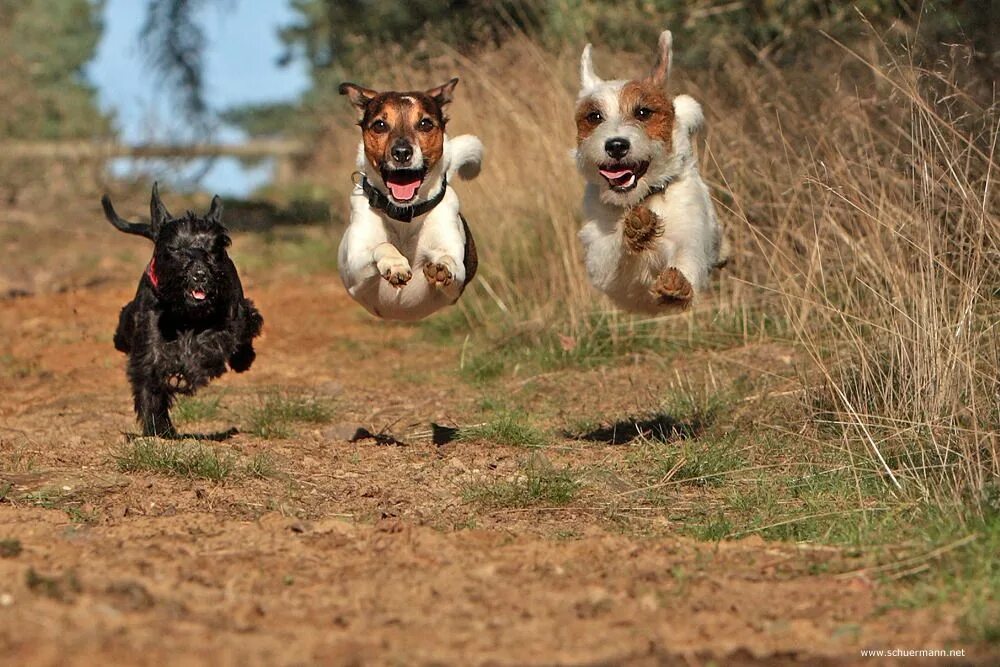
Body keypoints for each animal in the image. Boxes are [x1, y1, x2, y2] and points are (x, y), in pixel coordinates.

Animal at [103, 184, 264, 438]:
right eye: (176, 248)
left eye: (216, 247)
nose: (200, 274)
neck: (184, 312)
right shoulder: (148, 340)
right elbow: (150, 384)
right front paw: (158, 429)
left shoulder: (230, 320)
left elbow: (210, 345)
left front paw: (187, 370)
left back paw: (242, 360)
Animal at [338, 77, 482, 322]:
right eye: (380, 125)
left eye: (425, 124)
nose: (402, 152)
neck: (403, 214)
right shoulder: (353, 268)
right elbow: (382, 245)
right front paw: (395, 264)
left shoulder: (456, 280)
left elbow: (450, 261)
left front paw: (442, 265)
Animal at [576, 29, 724, 314]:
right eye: (595, 116)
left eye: (643, 112)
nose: (616, 145)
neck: (644, 198)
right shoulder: (602, 263)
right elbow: (612, 252)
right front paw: (636, 229)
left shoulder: (689, 232)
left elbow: (687, 257)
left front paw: (677, 285)